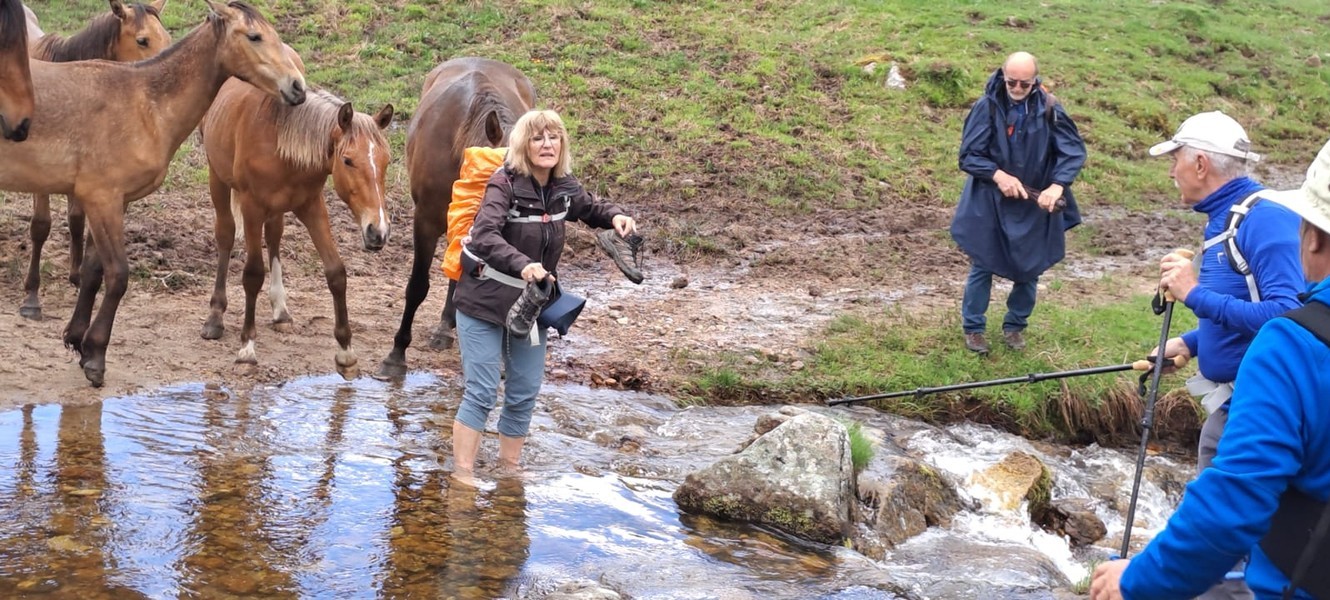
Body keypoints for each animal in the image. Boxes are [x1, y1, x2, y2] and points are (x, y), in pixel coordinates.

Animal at [21, 0, 173, 321]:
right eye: (142, 40)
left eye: (167, 37)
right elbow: (41, 226)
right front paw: (32, 296)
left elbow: (78, 221)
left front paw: (77, 278)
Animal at [199, 76, 393, 379]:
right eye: (348, 160)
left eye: (387, 160)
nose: (378, 231)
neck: (282, 142)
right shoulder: (252, 208)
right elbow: (252, 275)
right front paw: (246, 349)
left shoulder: (312, 206)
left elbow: (336, 273)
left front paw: (346, 353)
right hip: (216, 177)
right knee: (226, 235)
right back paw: (215, 316)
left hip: (276, 209)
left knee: (274, 236)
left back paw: (280, 311)